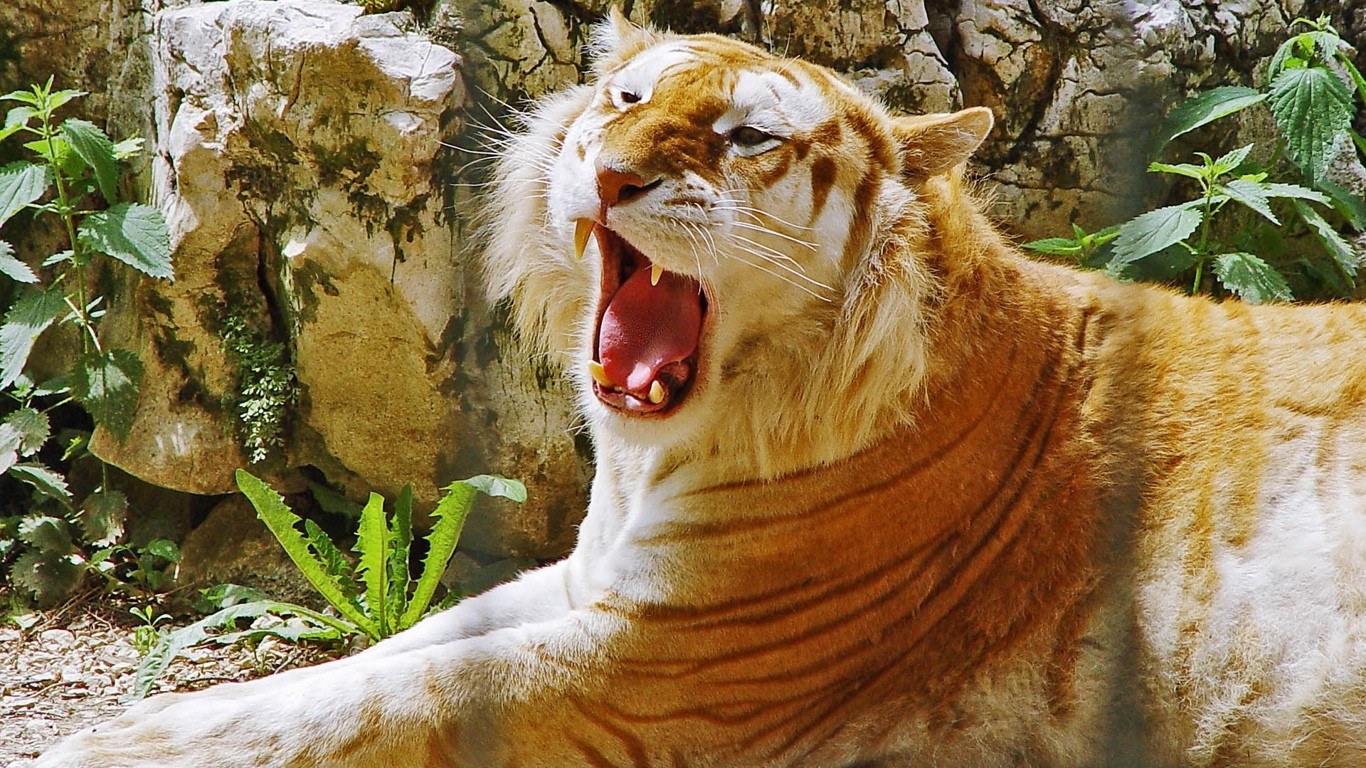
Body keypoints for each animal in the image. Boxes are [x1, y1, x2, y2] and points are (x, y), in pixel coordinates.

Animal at [37, 11, 1366, 768]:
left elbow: (390, 699)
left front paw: (108, 748)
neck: (657, 455)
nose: (613, 172)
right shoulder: (598, 585)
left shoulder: (667, 662)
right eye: (626, 101)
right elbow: (381, 659)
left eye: (745, 139)